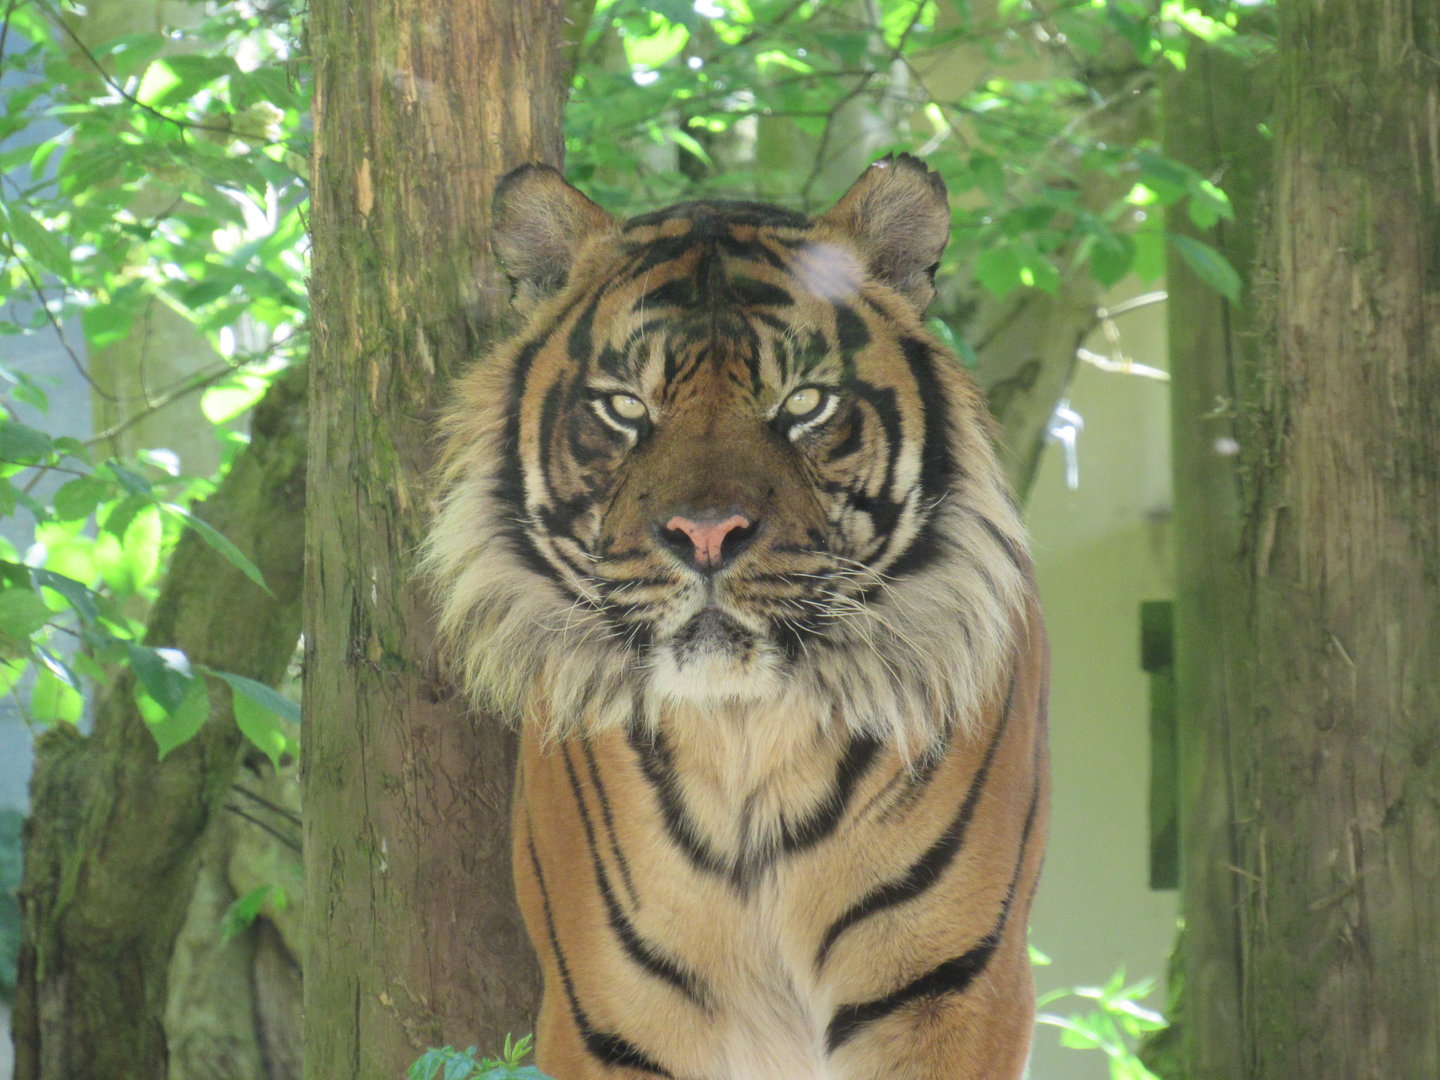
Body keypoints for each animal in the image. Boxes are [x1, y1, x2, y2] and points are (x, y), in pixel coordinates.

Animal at [423, 154, 1049, 1080]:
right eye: (624, 408)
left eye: (805, 404)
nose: (707, 534)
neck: (745, 731)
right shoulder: (610, 1014)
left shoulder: (948, 988)